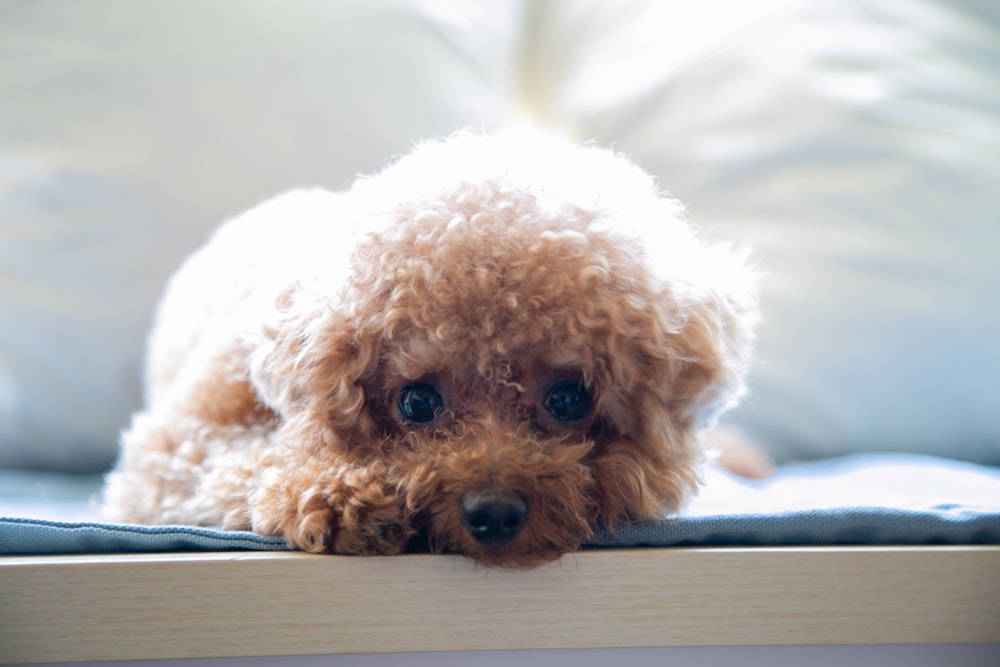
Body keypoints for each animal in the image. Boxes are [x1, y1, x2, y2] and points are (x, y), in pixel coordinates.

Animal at [103, 132, 756, 568]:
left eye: (569, 399)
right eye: (417, 402)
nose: (493, 512)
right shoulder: (169, 449)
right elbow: (240, 459)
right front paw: (336, 495)